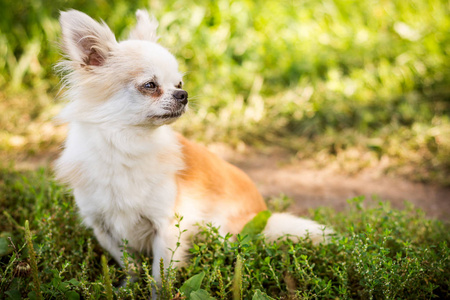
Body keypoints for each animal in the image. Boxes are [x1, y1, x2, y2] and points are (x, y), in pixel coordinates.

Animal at [54, 8, 332, 286]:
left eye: (178, 83)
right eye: (150, 85)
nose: (183, 94)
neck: (126, 144)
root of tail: (263, 213)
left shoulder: (166, 227)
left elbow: (160, 277)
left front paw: (157, 292)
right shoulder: (103, 229)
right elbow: (130, 266)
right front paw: (127, 288)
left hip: (224, 234)